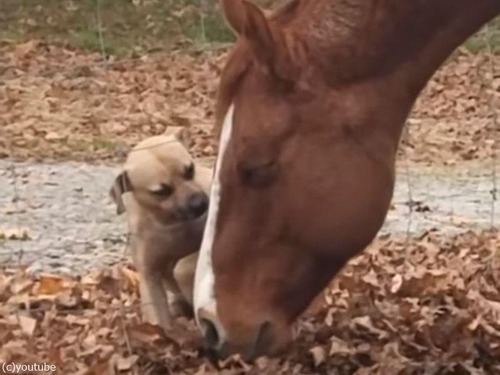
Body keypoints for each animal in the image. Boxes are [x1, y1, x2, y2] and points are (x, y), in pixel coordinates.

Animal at [109, 129, 211, 332]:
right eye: (162, 191)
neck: (170, 223)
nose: (200, 203)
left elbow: (183, 266)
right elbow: (156, 316)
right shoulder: (149, 274)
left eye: (190, 170)